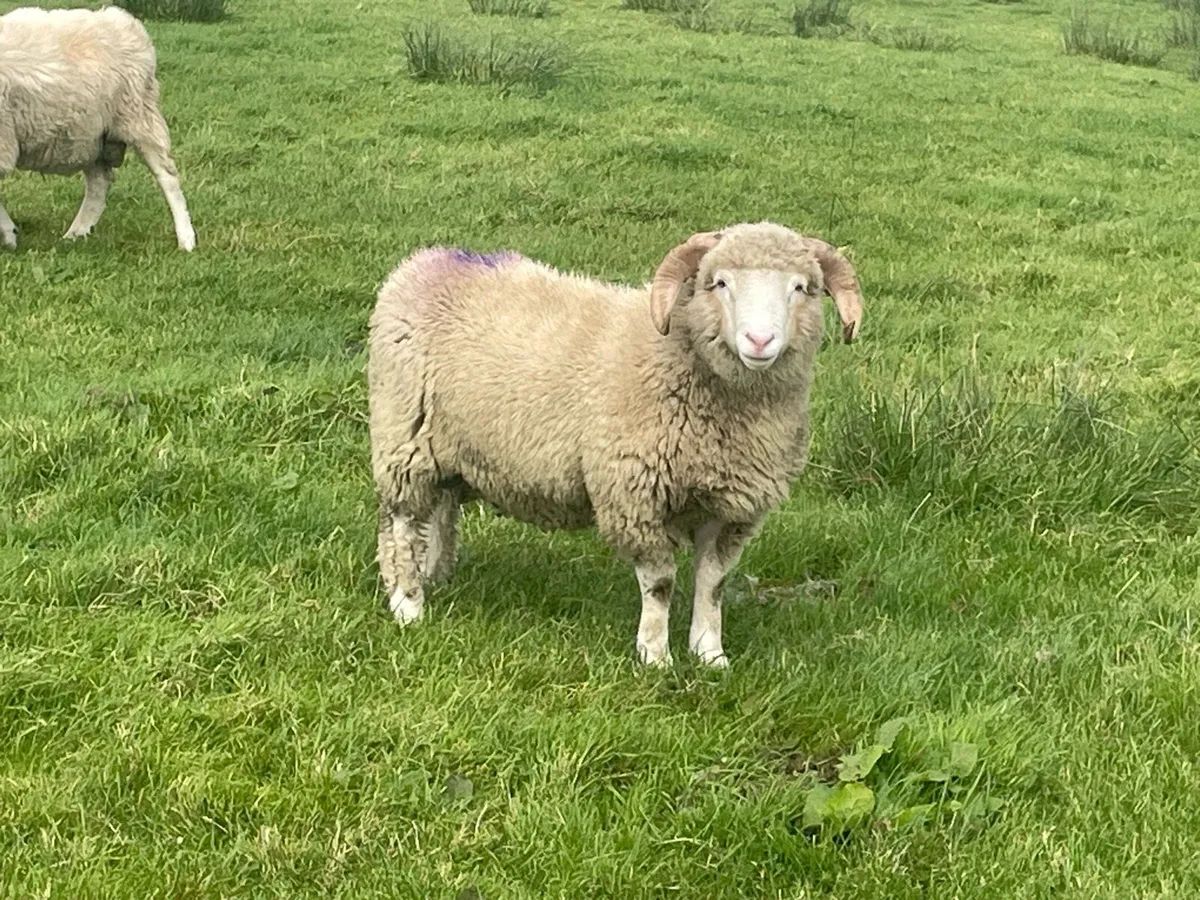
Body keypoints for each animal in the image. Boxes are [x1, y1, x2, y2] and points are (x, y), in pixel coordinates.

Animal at [0, 6, 195, 251]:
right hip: (90, 136)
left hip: (139, 116)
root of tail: (122, 19)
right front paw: (10, 234)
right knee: (99, 182)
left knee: (167, 176)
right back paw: (77, 232)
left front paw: (9, 235)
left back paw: (186, 240)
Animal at [368, 223, 863, 667]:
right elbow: (660, 584)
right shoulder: (635, 495)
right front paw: (656, 657)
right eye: (719, 283)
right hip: (404, 437)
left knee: (440, 507)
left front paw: (710, 656)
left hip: (449, 449)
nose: (759, 340)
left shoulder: (732, 510)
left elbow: (713, 583)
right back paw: (409, 603)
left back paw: (433, 576)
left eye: (801, 288)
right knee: (402, 522)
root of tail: (426, 261)